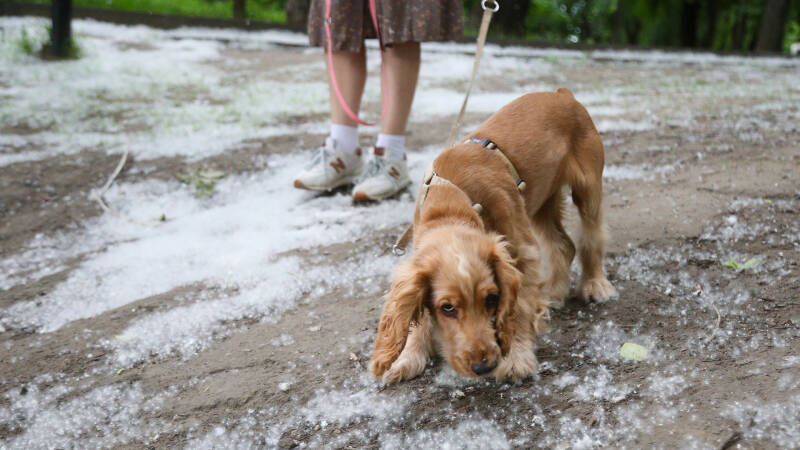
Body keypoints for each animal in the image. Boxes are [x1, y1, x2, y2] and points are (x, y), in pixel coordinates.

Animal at [370, 89, 620, 384]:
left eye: (491, 299)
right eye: (447, 308)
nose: (482, 367)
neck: (454, 202)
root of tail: (562, 94)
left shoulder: (522, 252)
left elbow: (519, 306)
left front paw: (516, 359)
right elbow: (416, 318)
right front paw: (407, 357)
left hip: (588, 188)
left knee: (590, 238)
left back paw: (595, 285)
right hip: (539, 204)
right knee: (562, 245)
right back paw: (553, 294)